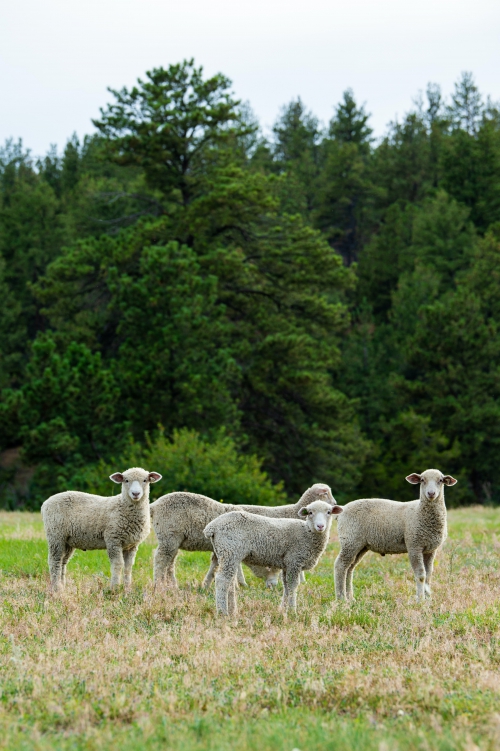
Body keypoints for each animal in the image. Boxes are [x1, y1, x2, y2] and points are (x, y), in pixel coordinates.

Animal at [41, 464, 162, 592]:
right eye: (126, 480)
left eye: (145, 480)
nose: (135, 493)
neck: (123, 506)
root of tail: (45, 503)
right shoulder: (113, 539)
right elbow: (118, 564)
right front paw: (115, 588)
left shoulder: (131, 544)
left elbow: (128, 567)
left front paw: (127, 588)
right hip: (55, 535)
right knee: (55, 561)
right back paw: (56, 588)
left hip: (68, 540)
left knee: (63, 562)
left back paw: (63, 586)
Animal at [149, 484, 336, 592]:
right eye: (326, 493)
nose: (335, 504)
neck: (291, 511)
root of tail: (154, 505)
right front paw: (240, 584)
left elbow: (216, 565)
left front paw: (207, 585)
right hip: (169, 535)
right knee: (161, 558)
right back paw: (158, 585)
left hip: (174, 539)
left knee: (170, 561)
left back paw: (171, 584)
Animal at [203, 500, 344, 616]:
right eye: (310, 512)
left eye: (329, 512)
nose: (320, 526)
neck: (307, 533)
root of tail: (212, 527)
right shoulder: (294, 560)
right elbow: (293, 585)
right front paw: (292, 611)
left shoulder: (287, 564)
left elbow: (286, 586)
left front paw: (283, 609)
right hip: (230, 550)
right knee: (222, 580)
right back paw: (223, 612)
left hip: (227, 553)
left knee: (230, 581)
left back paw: (232, 610)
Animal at [334, 468, 458, 604]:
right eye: (422, 480)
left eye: (440, 480)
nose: (431, 493)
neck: (420, 512)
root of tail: (342, 510)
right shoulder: (414, 545)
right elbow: (421, 575)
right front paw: (420, 600)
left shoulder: (430, 549)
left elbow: (429, 575)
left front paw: (428, 599)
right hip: (350, 540)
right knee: (340, 566)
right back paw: (341, 598)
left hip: (360, 545)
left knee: (350, 568)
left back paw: (350, 598)